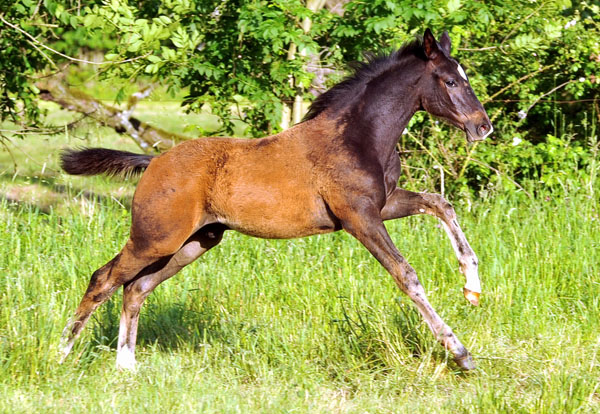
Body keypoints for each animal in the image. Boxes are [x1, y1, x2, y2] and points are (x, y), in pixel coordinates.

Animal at [59, 30, 492, 370]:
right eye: (450, 81)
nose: (483, 127)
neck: (360, 136)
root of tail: (153, 162)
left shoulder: (383, 205)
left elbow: (439, 203)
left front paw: (472, 286)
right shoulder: (359, 217)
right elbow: (406, 275)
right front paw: (461, 353)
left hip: (194, 242)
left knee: (136, 288)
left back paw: (126, 365)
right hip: (156, 238)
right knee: (104, 279)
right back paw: (62, 353)